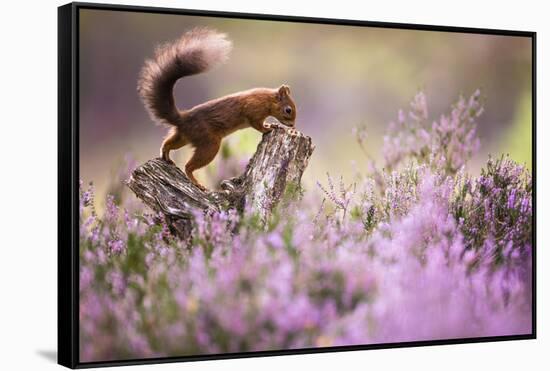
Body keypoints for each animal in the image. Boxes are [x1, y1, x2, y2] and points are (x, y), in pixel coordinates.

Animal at [137, 27, 298, 190]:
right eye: (288, 110)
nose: (292, 125)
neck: (266, 100)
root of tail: (182, 119)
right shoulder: (253, 111)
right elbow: (257, 125)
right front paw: (269, 128)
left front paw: (273, 125)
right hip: (209, 143)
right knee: (189, 166)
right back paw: (196, 182)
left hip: (183, 137)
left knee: (168, 143)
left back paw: (165, 154)